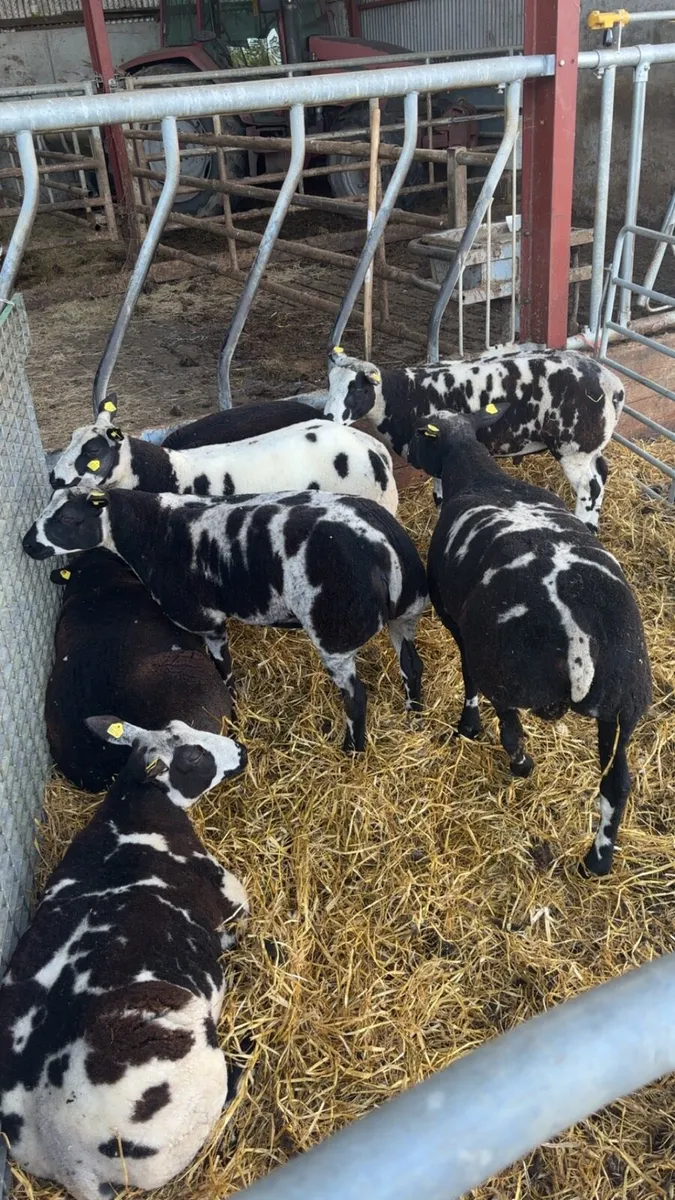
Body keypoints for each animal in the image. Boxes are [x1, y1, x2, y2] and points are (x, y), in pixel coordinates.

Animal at [0, 716, 248, 1200]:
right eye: (192, 756)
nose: (240, 752)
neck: (131, 816)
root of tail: (69, 1158)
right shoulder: (229, 893)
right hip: (192, 1083)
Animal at [23, 486, 429, 753]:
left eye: (69, 518)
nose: (28, 545)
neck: (151, 530)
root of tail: (384, 540)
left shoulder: (205, 619)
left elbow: (223, 667)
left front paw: (233, 704)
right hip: (404, 614)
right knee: (412, 665)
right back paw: (415, 717)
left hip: (335, 631)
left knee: (355, 697)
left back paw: (352, 750)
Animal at [324, 346, 625, 530]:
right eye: (329, 383)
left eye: (358, 389)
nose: (327, 416)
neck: (402, 395)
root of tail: (614, 386)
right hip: (589, 447)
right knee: (601, 473)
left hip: (574, 447)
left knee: (590, 487)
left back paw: (585, 523)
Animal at [406, 407, 651, 876]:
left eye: (424, 435)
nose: (408, 455)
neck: (481, 474)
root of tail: (578, 640)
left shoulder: (456, 624)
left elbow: (467, 681)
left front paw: (468, 726)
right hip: (625, 705)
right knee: (618, 784)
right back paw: (598, 860)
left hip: (505, 673)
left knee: (511, 730)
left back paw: (521, 765)